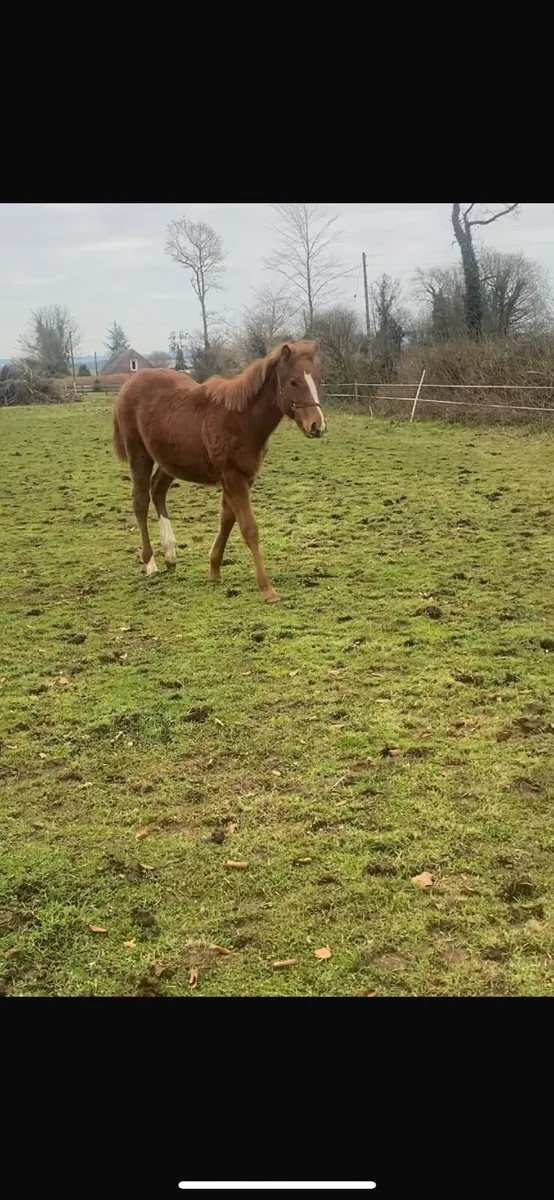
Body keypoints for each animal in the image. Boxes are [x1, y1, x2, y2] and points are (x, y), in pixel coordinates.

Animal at [112, 339, 326, 603]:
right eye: (293, 382)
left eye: (318, 380)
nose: (317, 426)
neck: (241, 420)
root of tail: (128, 384)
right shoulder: (233, 477)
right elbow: (249, 528)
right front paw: (267, 589)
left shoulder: (243, 477)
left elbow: (227, 519)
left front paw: (214, 570)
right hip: (139, 454)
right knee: (140, 501)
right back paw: (150, 562)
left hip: (170, 461)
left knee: (158, 491)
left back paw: (170, 555)